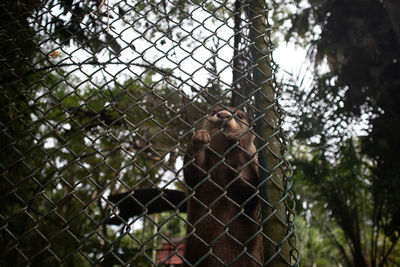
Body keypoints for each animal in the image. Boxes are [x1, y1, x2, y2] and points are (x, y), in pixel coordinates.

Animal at [184, 107, 264, 267]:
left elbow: (248, 194)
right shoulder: (196, 181)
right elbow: (193, 175)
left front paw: (235, 142)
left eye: (240, 115)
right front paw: (199, 139)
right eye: (214, 111)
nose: (223, 114)